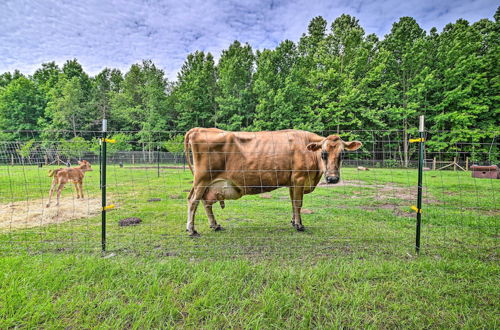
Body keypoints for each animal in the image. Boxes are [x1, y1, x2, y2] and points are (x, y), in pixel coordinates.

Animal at [183, 127, 360, 236]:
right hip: (202, 179)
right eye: (323, 153)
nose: (332, 178)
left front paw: (294, 222)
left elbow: (293, 203)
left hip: (207, 183)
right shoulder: (299, 178)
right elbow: (298, 203)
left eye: (342, 154)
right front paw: (299, 225)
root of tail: (198, 129)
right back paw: (191, 230)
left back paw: (215, 225)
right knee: (193, 201)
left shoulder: (292, 182)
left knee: (205, 202)